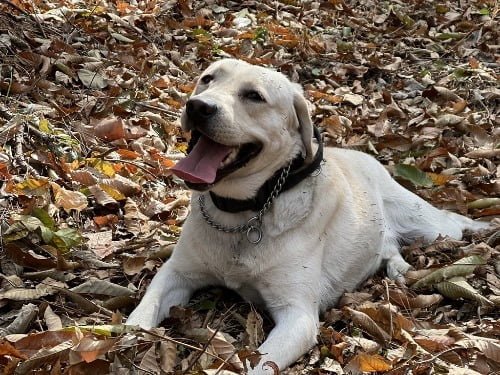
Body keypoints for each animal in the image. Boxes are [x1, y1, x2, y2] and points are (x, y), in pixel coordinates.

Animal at [128, 60, 488, 374]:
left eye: (254, 96)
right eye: (207, 79)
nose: (198, 107)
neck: (246, 211)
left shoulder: (297, 316)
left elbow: (261, 365)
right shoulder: (177, 273)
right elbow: (143, 310)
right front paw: (127, 336)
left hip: (428, 225)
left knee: (450, 221)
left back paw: (482, 227)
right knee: (388, 246)